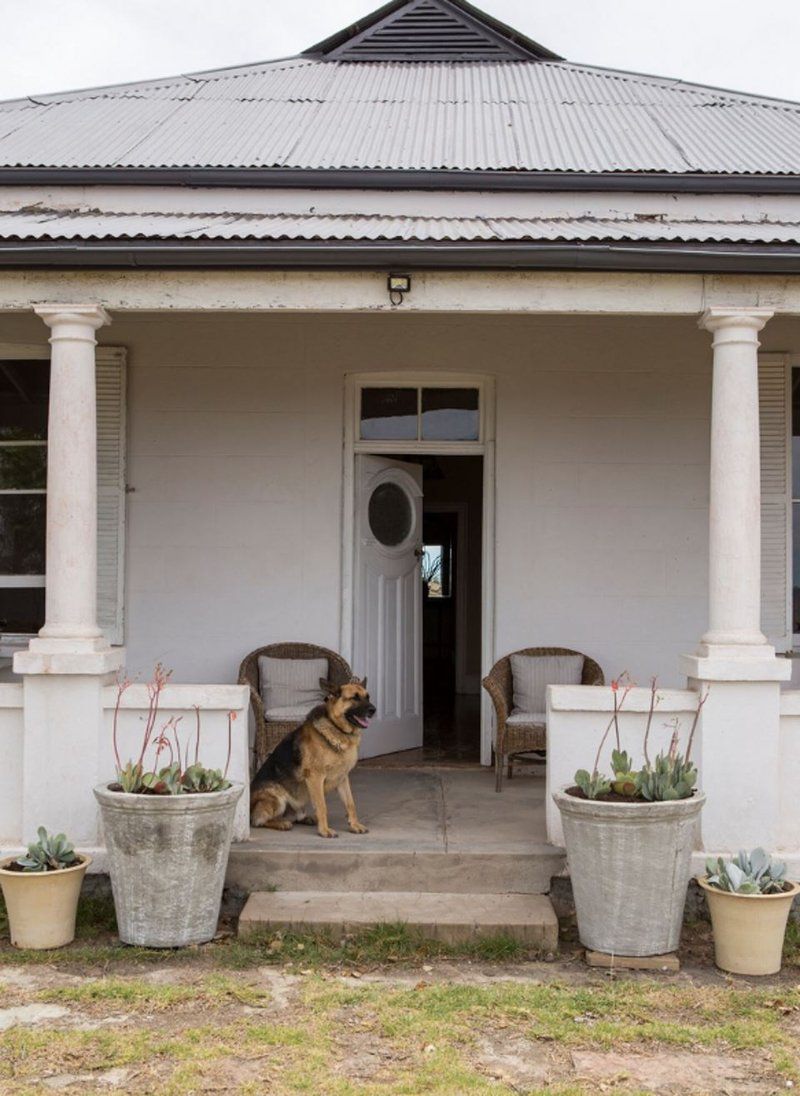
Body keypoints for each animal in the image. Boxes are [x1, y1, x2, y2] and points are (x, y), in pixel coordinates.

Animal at [249, 675, 374, 837]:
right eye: (355, 698)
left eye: (368, 697)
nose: (373, 710)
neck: (336, 728)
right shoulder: (316, 777)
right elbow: (322, 806)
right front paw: (324, 831)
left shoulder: (343, 778)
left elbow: (350, 804)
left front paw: (354, 825)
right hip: (277, 798)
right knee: (258, 820)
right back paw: (281, 823)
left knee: (295, 816)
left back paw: (305, 819)